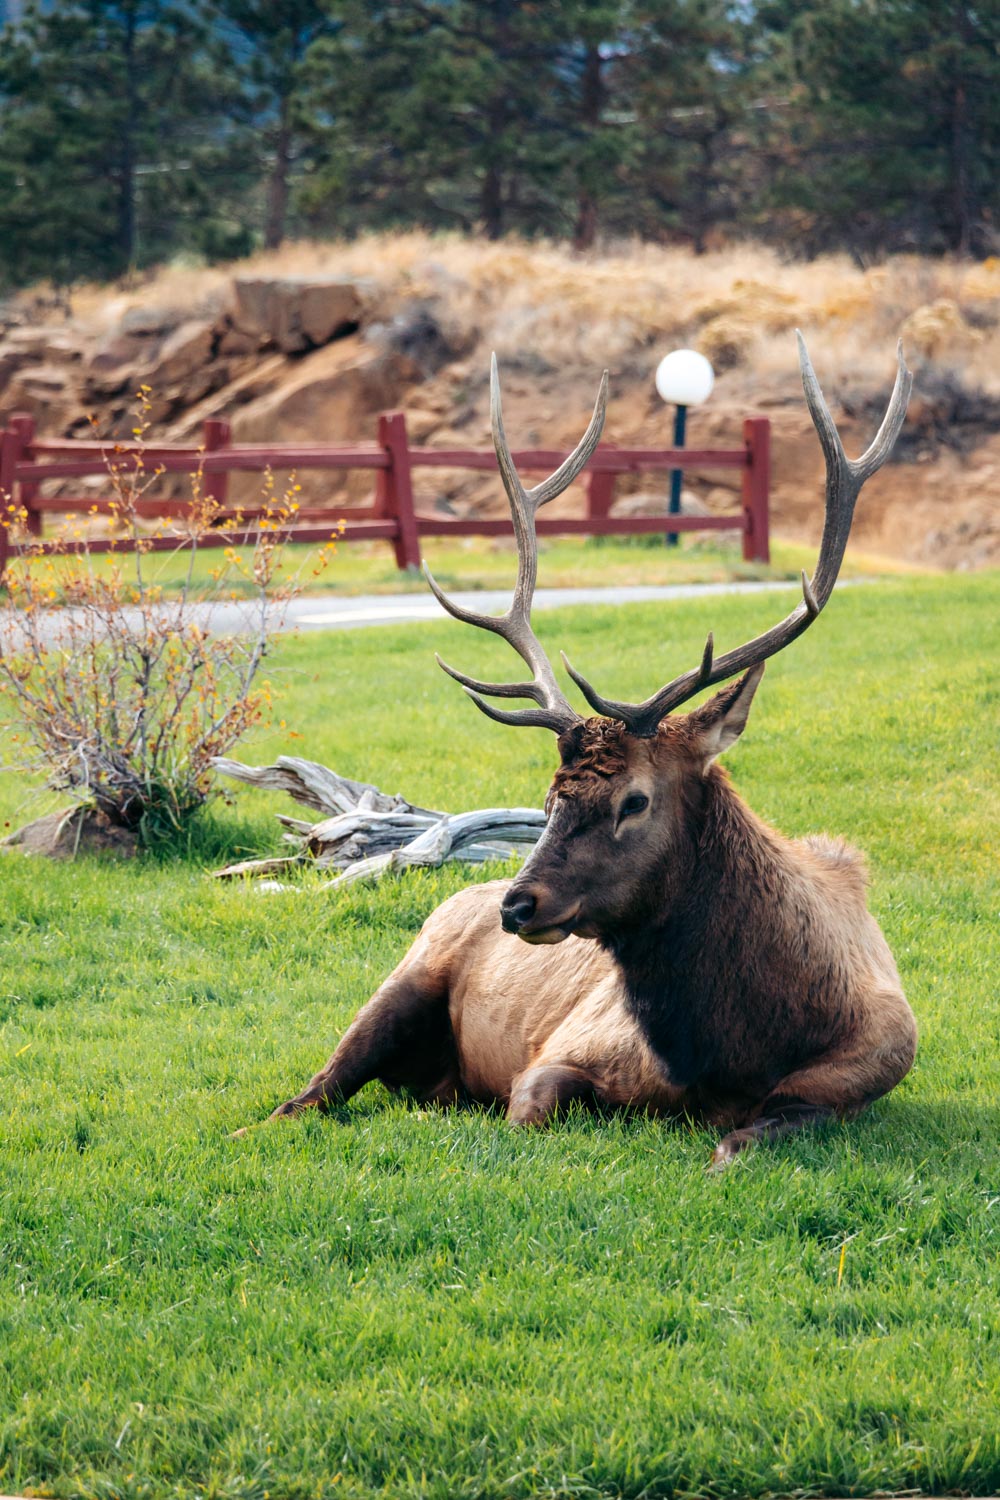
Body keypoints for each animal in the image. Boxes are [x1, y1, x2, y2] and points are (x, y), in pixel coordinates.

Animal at [245, 340, 917, 1170]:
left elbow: (744, 1141)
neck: (737, 1047)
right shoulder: (563, 1052)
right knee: (307, 1094)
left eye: (635, 799)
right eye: (548, 798)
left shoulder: (862, 1073)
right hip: (401, 980)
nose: (517, 904)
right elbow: (529, 1112)